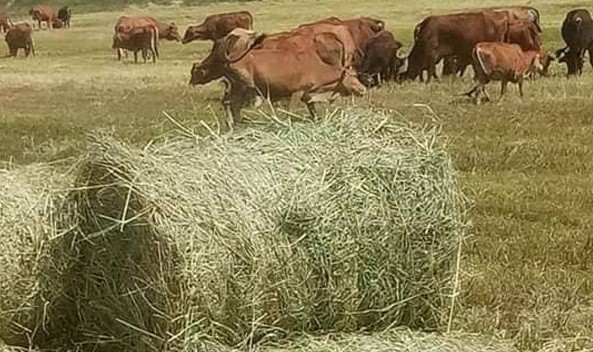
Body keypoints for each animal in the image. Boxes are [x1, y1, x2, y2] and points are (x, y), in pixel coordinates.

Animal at [190, 28, 366, 128]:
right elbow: (291, 112)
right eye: (352, 77)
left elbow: (312, 109)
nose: (363, 89)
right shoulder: (296, 93)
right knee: (230, 103)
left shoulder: (307, 95)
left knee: (231, 104)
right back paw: (233, 123)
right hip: (244, 87)